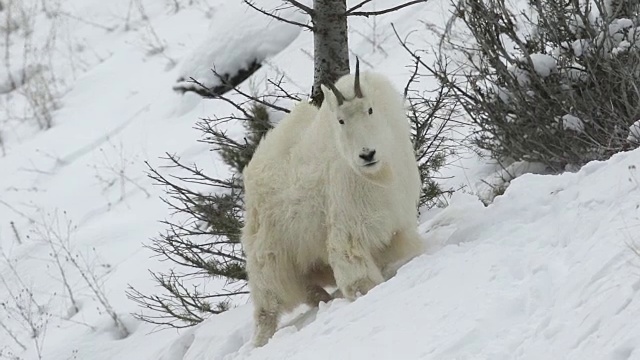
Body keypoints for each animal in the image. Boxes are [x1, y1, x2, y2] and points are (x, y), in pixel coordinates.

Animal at [242, 60, 422, 348]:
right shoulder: (348, 223)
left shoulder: (396, 219)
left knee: (307, 287)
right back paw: (262, 340)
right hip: (270, 254)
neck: (379, 176)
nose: (367, 154)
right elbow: (357, 274)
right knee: (268, 303)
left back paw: (323, 299)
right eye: (340, 120)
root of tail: (250, 173)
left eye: (369, 109)